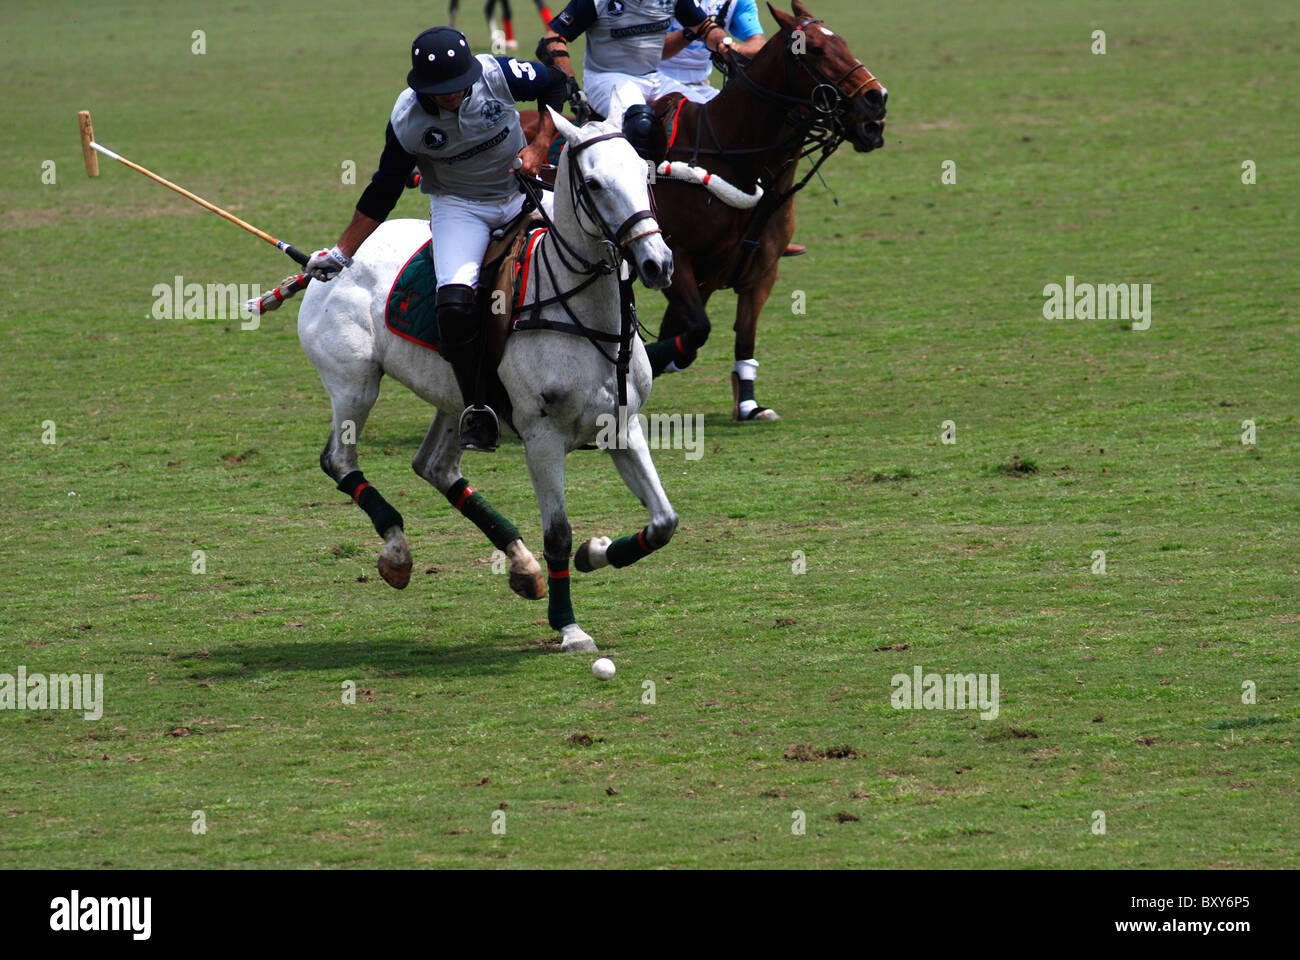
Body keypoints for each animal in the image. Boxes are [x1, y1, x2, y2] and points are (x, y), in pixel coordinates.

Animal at [296, 110, 681, 650]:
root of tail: (335, 259)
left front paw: (596, 552)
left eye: (644, 173)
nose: (657, 264)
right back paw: (397, 551)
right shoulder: (541, 438)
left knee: (434, 466)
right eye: (594, 183)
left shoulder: (622, 426)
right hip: (355, 385)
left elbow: (665, 521)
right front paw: (569, 626)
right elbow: (558, 533)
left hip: (455, 398)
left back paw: (521, 565)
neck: (584, 312)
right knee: (339, 460)